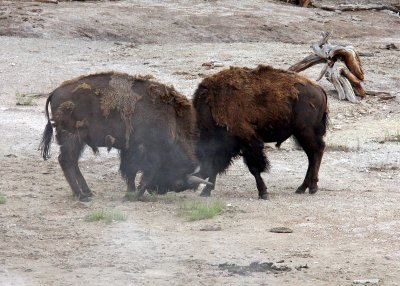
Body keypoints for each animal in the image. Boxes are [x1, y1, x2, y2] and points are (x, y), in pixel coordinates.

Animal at [40, 71, 209, 201]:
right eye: (179, 184)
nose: (158, 190)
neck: (170, 120)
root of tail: (54, 92)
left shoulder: (129, 150)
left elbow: (131, 172)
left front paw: (132, 192)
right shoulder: (143, 150)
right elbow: (137, 171)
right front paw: (134, 194)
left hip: (78, 141)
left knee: (72, 162)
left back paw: (88, 192)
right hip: (72, 138)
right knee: (66, 160)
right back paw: (81, 196)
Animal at [193, 64, 328, 199]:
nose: (191, 184)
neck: (211, 108)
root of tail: (319, 89)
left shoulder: (248, 143)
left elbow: (254, 168)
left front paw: (263, 193)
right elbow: (216, 166)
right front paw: (206, 191)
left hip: (305, 132)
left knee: (317, 150)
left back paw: (312, 187)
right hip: (300, 135)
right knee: (312, 155)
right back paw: (302, 188)